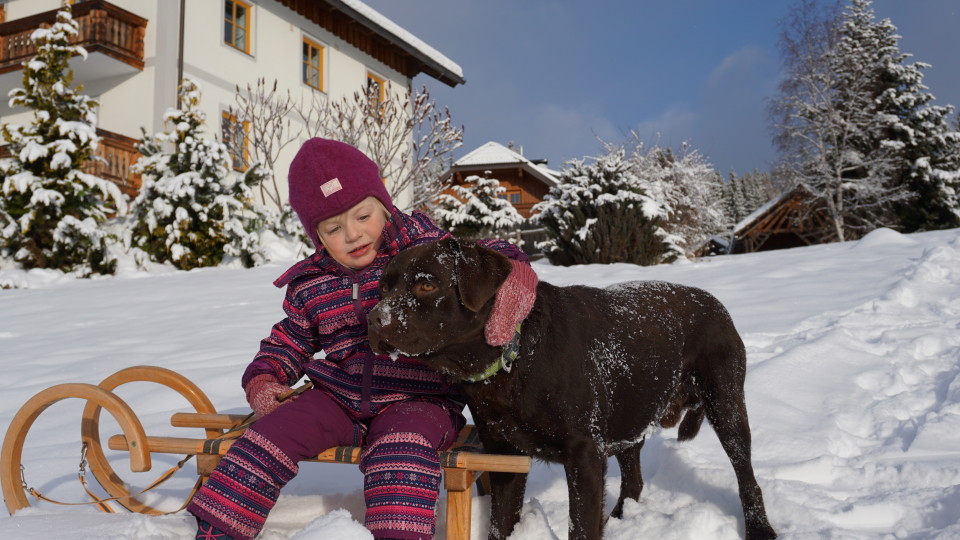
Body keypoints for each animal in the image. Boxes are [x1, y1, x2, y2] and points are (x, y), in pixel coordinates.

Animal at [364, 239, 776, 540]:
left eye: (426, 283)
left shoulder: (584, 456)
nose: (373, 318)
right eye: (382, 289)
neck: (516, 355)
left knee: (747, 477)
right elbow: (500, 524)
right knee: (634, 480)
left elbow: (580, 528)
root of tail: (715, 302)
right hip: (628, 417)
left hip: (726, 405)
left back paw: (761, 529)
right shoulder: (504, 456)